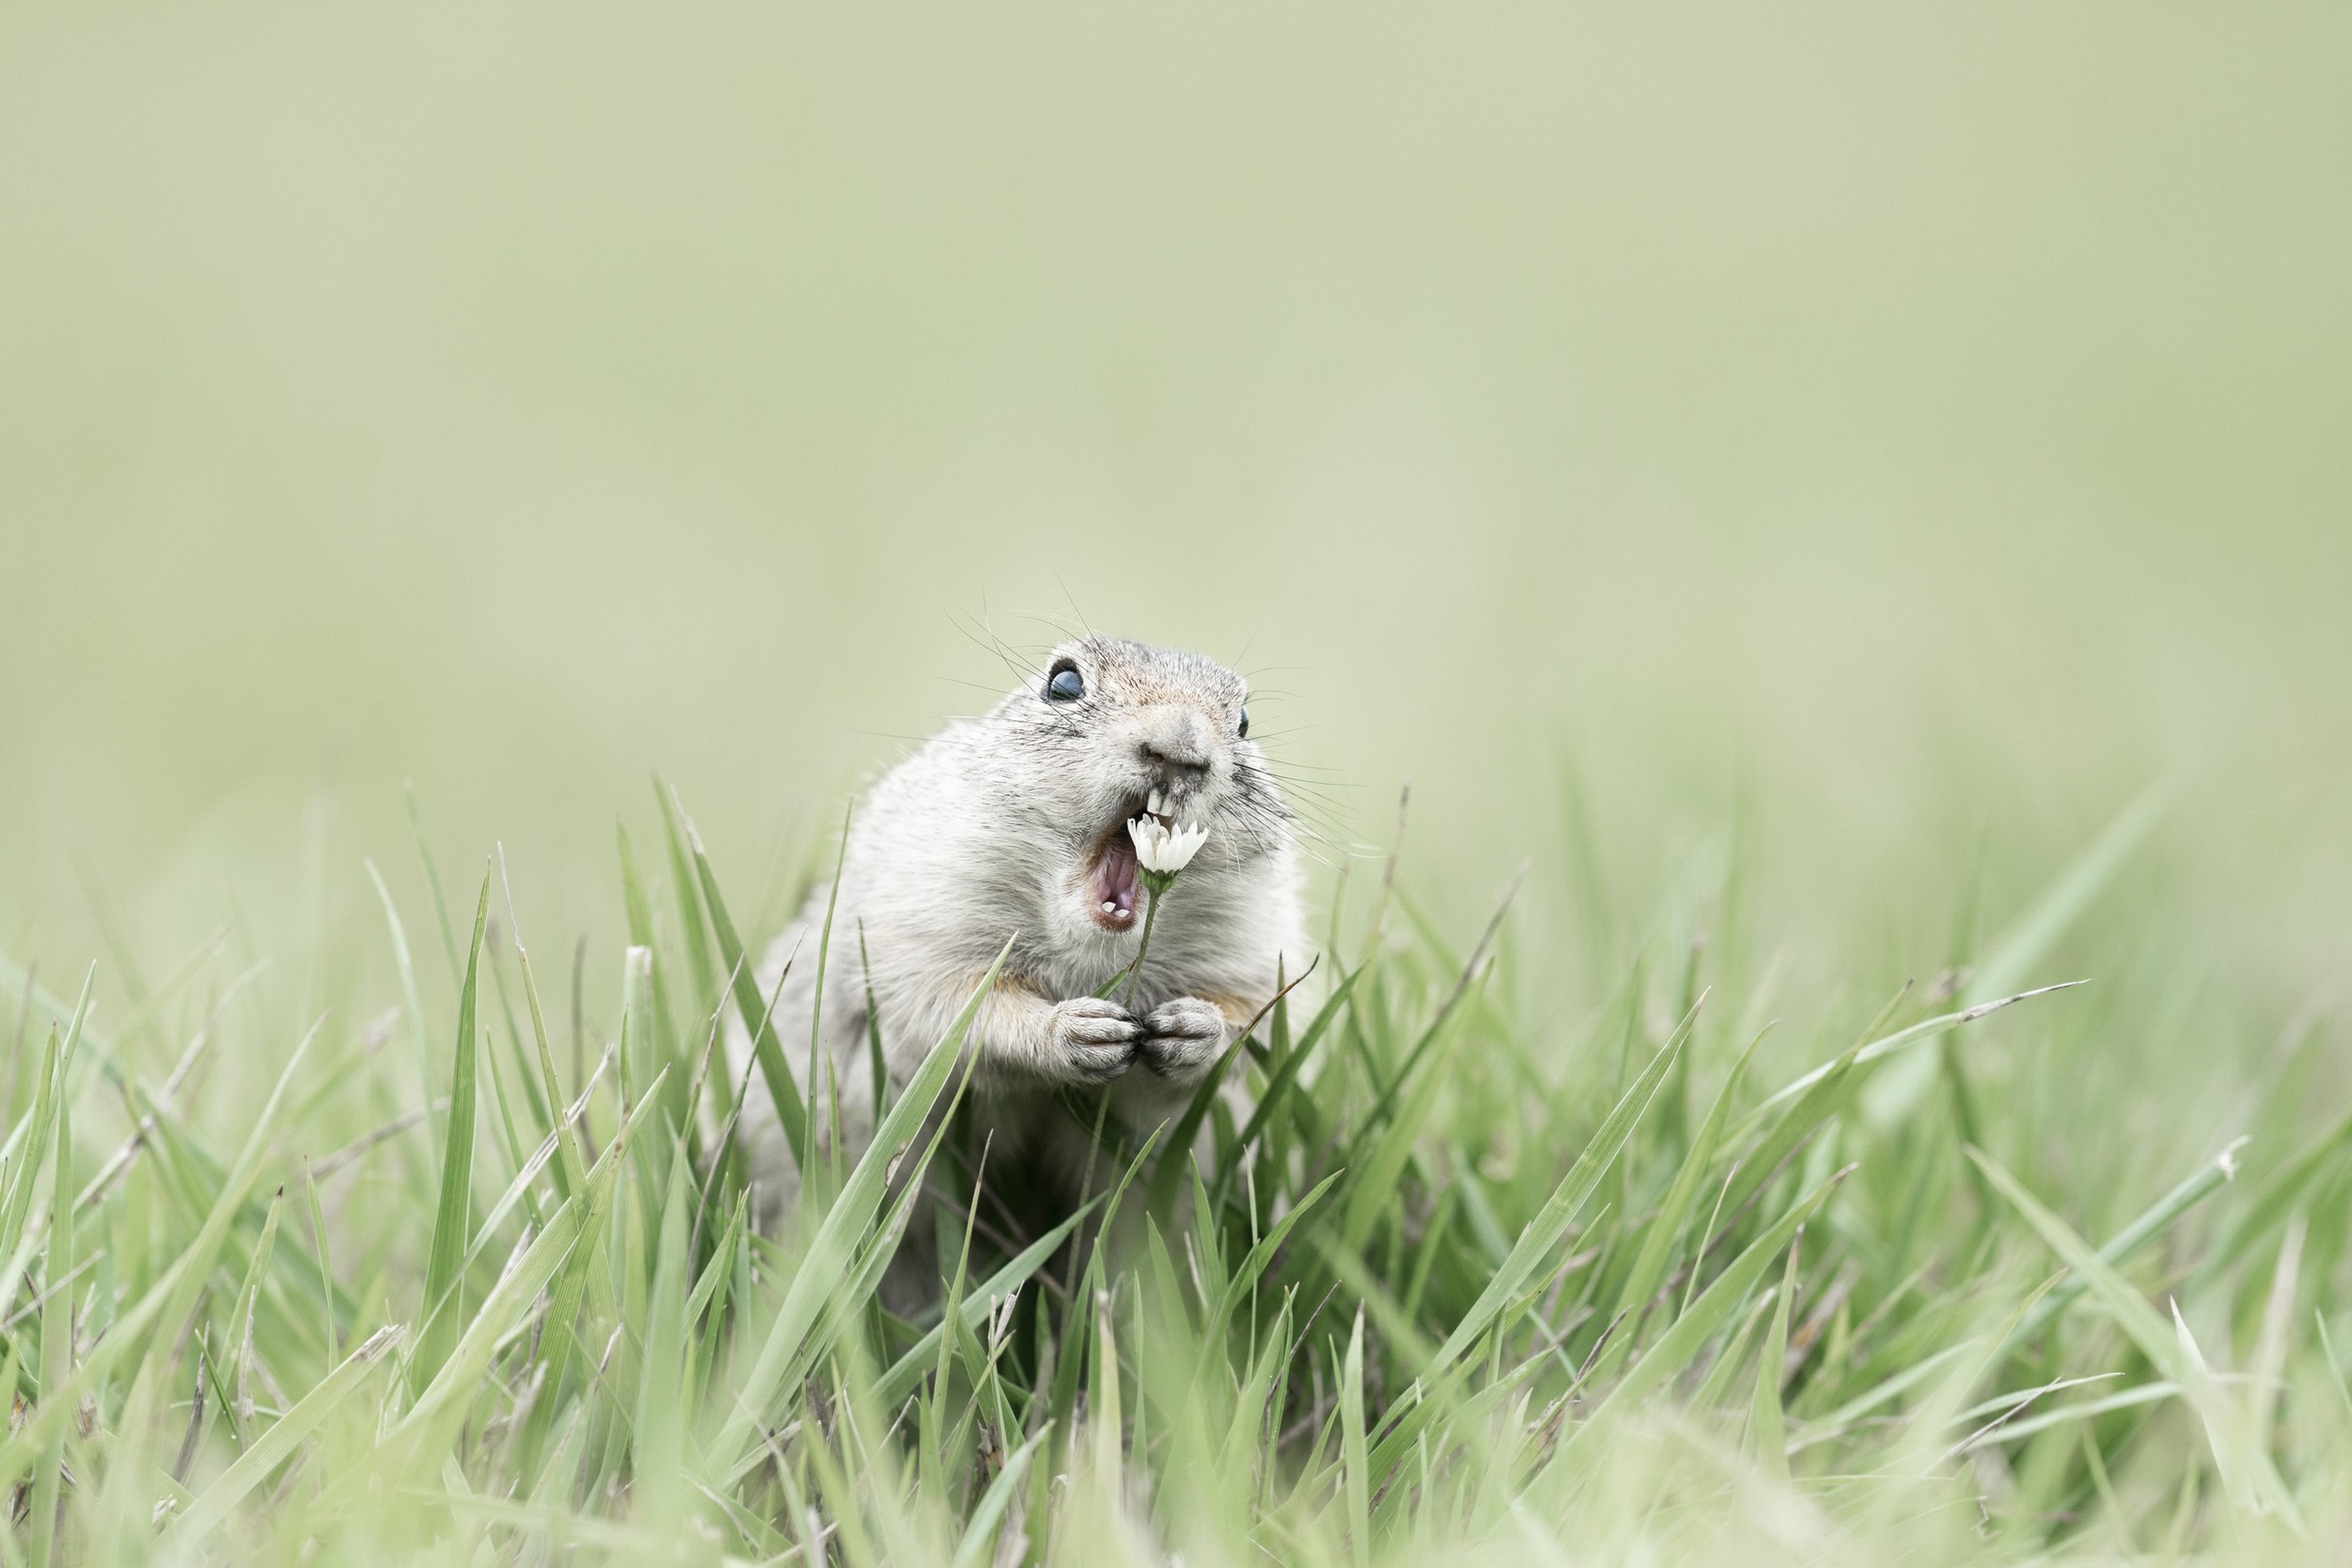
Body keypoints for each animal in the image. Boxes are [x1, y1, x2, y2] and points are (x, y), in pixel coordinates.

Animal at [723, 635, 1306, 1299]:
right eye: (1063, 683)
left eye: (1244, 721)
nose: (1180, 750)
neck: (1092, 959)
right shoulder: (922, 926)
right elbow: (958, 1013)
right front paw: (1072, 1032)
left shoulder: (1256, 948)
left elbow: (1252, 1021)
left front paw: (1195, 1028)